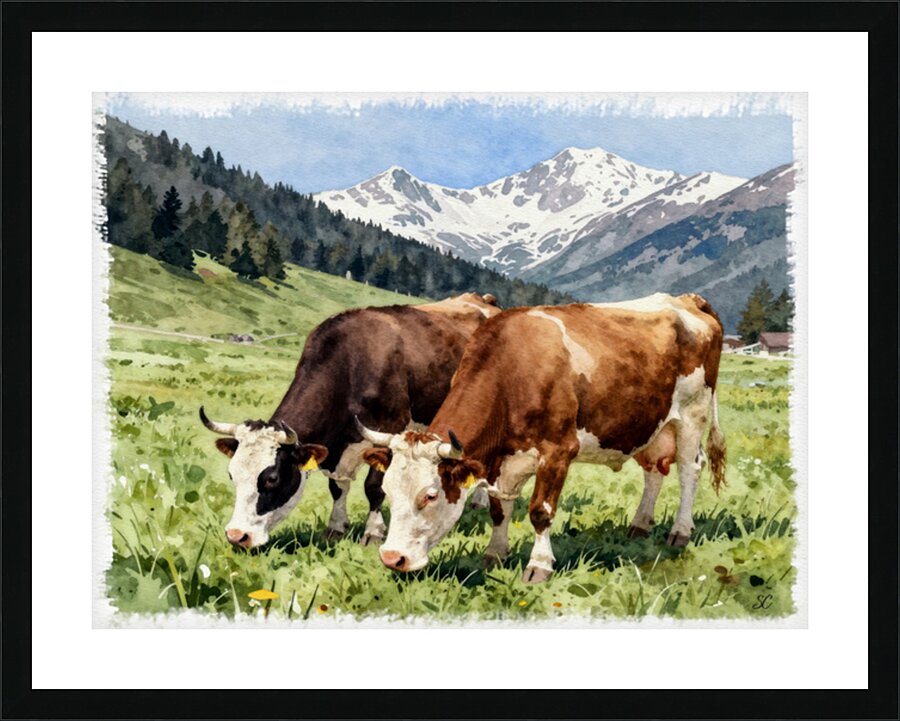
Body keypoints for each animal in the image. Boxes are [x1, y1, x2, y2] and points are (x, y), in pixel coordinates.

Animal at [199, 292, 501, 550]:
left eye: (272, 478)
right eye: (232, 474)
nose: (237, 536)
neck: (351, 363)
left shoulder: (390, 429)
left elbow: (374, 487)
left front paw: (373, 532)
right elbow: (337, 487)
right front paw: (336, 527)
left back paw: (480, 502)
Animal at [357, 292, 727, 584]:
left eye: (430, 496)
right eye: (387, 490)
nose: (392, 558)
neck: (513, 372)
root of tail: (687, 300)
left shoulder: (558, 452)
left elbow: (540, 512)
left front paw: (539, 566)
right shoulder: (499, 462)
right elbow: (499, 510)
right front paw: (495, 554)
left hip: (692, 415)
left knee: (689, 470)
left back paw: (680, 532)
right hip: (649, 426)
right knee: (654, 471)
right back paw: (639, 525)